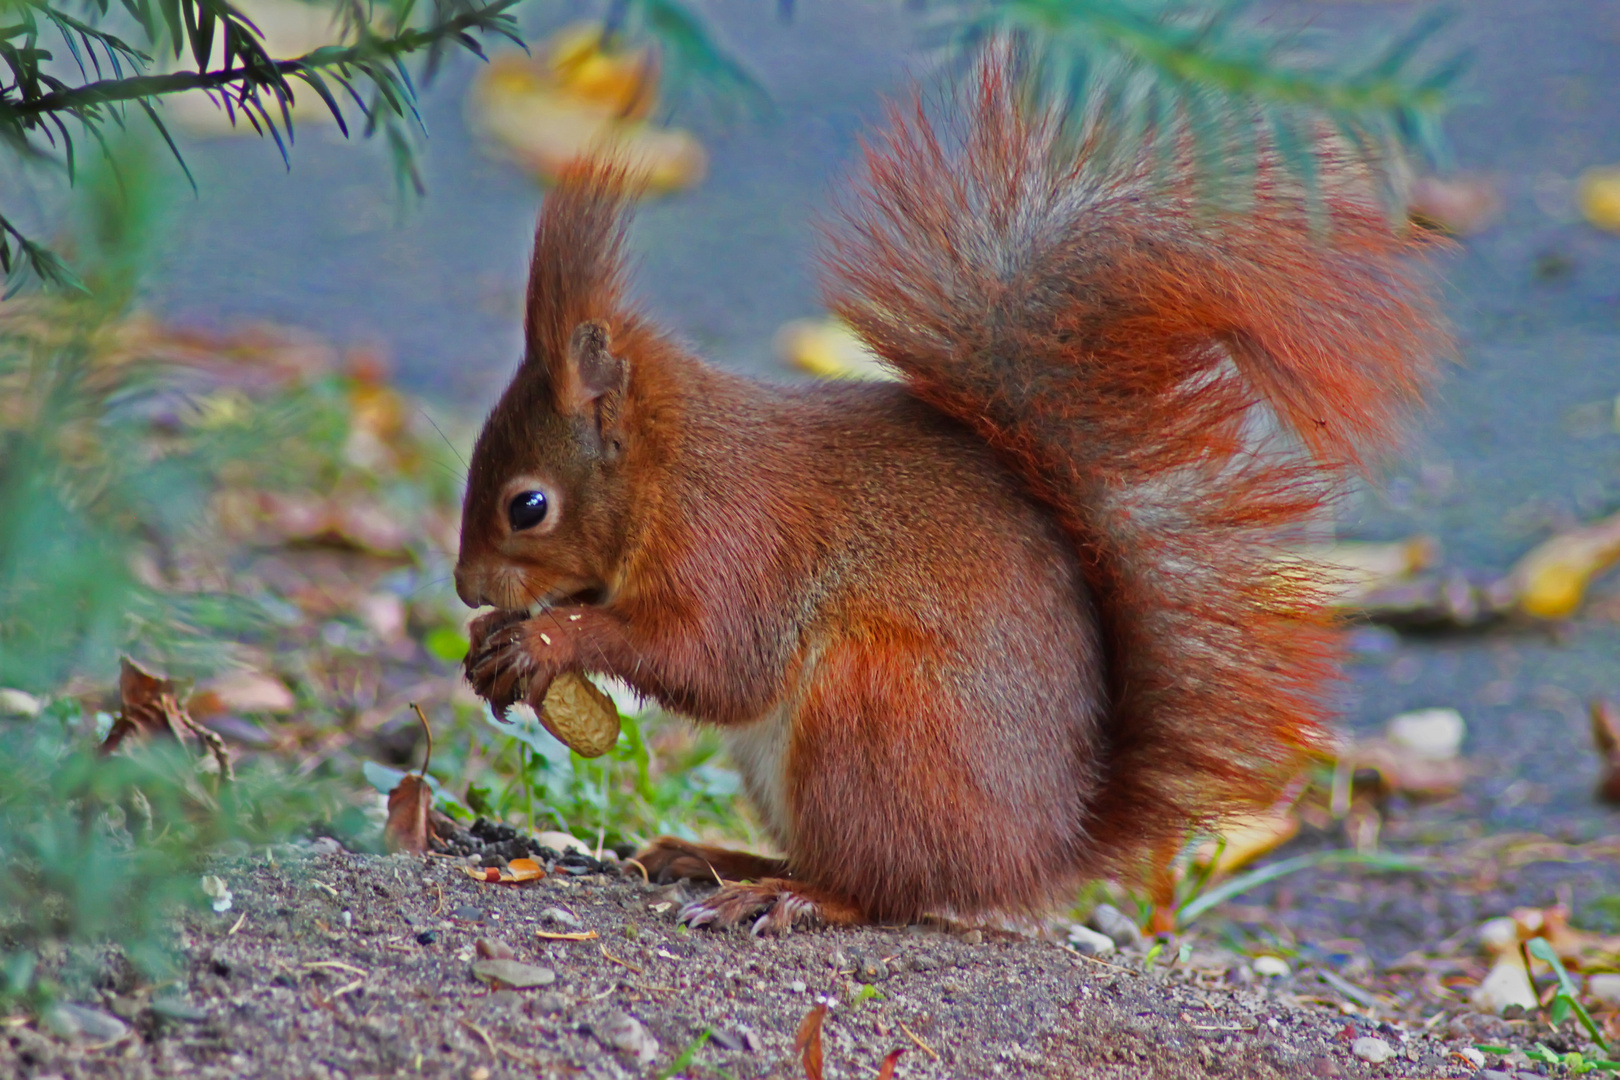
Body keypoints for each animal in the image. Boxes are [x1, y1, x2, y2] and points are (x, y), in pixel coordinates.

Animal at [453, 63, 1445, 932]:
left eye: (527, 506)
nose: (466, 588)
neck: (669, 466)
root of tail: (1037, 852)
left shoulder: (734, 540)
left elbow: (713, 657)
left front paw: (548, 639)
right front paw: (494, 638)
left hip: (874, 714)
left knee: (882, 889)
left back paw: (782, 894)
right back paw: (721, 858)